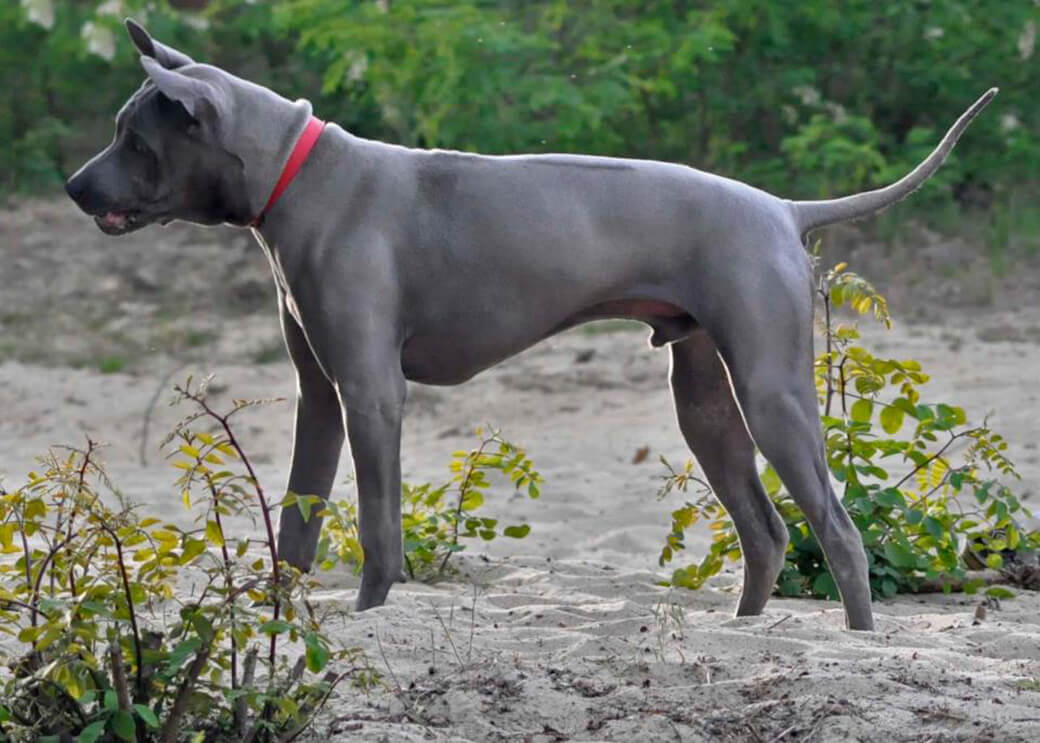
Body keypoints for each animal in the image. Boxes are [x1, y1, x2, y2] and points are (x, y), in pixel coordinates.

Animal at [67, 20, 998, 628]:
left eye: (133, 139)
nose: (74, 186)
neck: (300, 175)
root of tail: (785, 207)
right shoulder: (319, 397)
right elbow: (298, 522)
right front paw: (275, 618)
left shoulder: (372, 392)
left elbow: (376, 529)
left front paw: (369, 613)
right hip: (703, 395)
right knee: (766, 531)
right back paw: (740, 634)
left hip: (770, 391)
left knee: (838, 531)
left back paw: (860, 641)